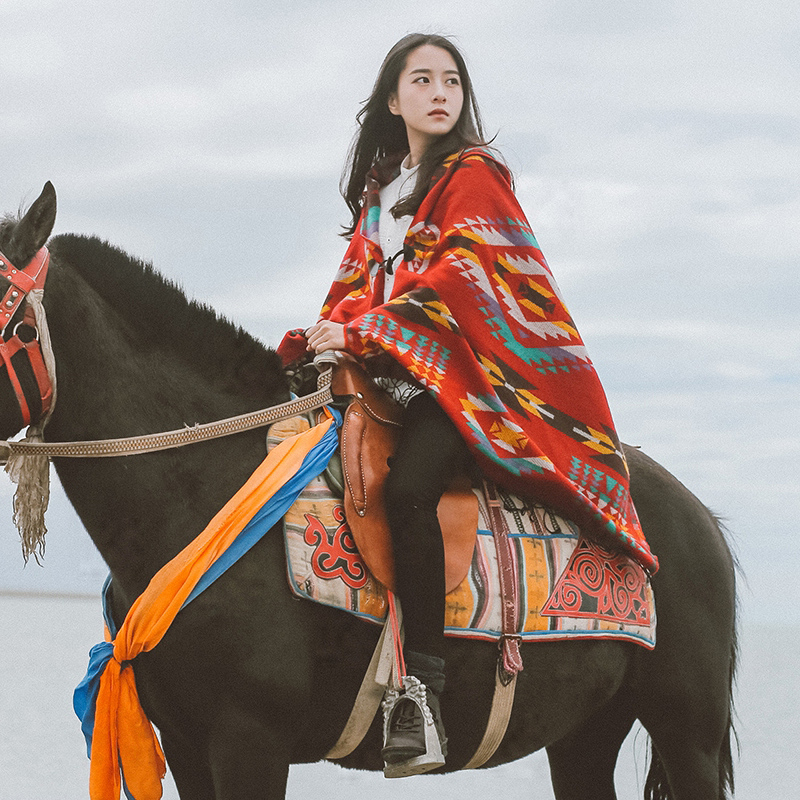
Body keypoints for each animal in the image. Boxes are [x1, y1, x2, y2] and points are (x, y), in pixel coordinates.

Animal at [0, 184, 736, 796]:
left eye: (13, 323)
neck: (200, 495)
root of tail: (701, 518)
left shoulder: (248, 739)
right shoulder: (184, 742)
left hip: (686, 733)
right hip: (585, 733)